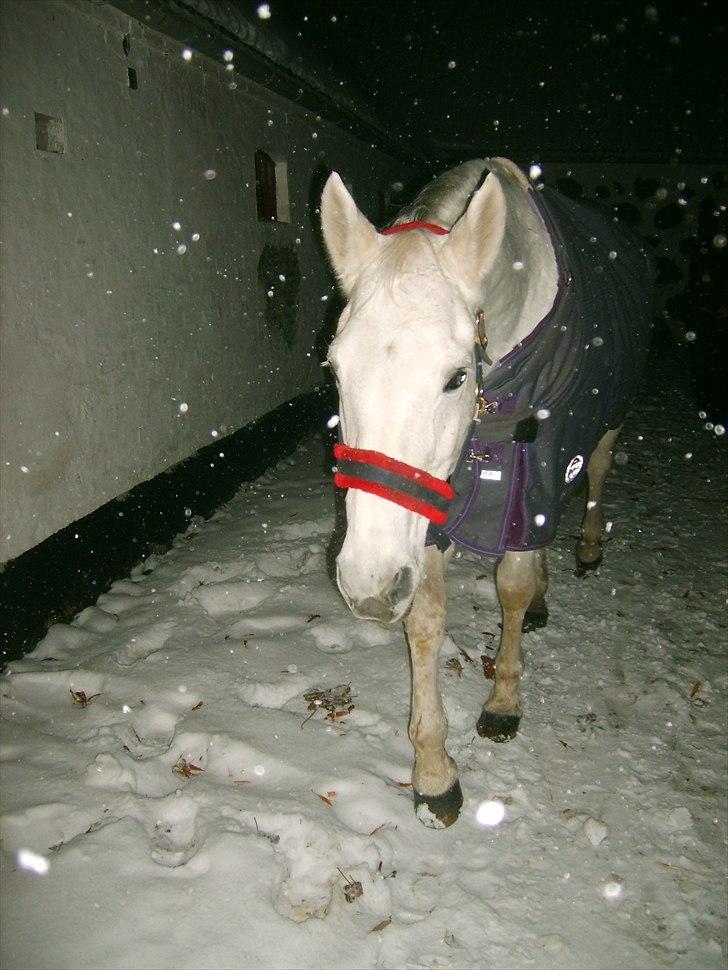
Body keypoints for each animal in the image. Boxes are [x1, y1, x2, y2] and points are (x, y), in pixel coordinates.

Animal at [322, 157, 652, 824]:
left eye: (455, 377)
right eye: (336, 369)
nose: (368, 587)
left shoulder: (534, 465)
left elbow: (513, 586)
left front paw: (502, 700)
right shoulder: (428, 505)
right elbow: (425, 619)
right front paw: (433, 771)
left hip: (602, 425)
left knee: (596, 474)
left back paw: (586, 549)